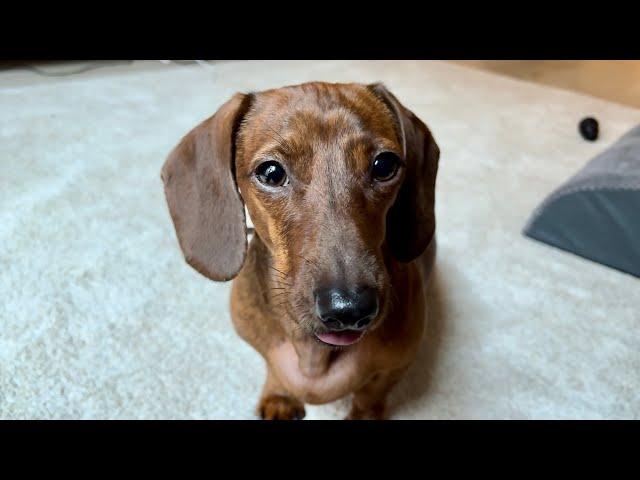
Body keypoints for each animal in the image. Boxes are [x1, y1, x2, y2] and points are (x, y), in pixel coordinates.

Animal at [161, 82, 440, 420]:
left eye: (384, 165)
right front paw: (280, 395)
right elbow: (275, 369)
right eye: (271, 172)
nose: (349, 309)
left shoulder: (395, 366)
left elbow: (370, 395)